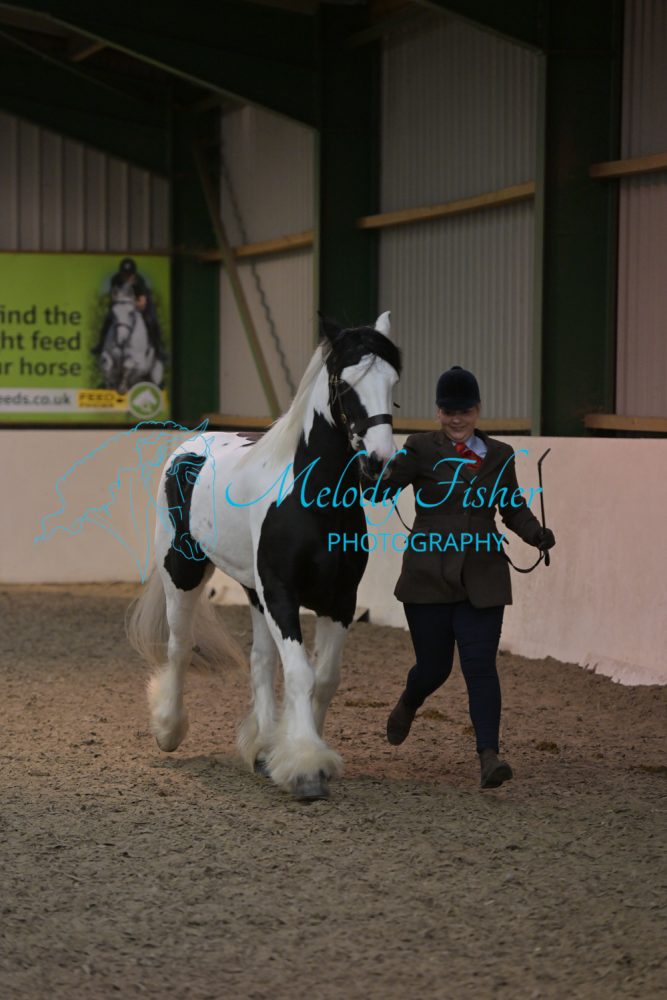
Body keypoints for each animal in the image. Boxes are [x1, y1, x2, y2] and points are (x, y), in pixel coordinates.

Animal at [127, 312, 402, 800]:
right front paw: (307, 767)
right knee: (179, 647)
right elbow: (300, 674)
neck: (312, 501)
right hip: (183, 571)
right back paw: (169, 728)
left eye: (392, 381)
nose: (380, 464)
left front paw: (296, 752)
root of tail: (189, 447)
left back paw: (262, 747)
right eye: (344, 381)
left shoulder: (340, 599)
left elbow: (323, 678)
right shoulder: (281, 592)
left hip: (253, 592)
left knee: (260, 660)